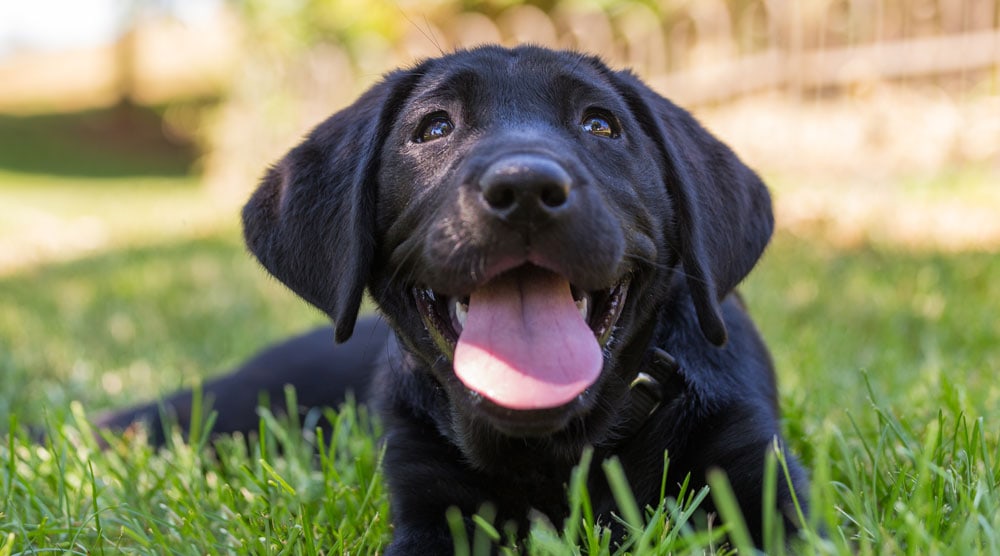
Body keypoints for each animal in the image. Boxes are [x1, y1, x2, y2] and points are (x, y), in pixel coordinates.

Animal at [97, 44, 808, 552]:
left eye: (601, 125)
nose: (525, 189)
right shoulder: (429, 504)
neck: (554, 452)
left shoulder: (762, 478)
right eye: (434, 127)